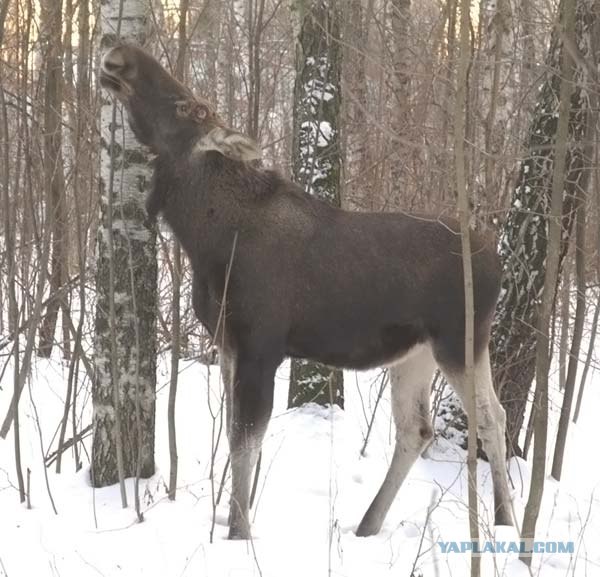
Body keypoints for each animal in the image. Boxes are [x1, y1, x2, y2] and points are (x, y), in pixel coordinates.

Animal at [101, 42, 512, 536]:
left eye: (191, 108)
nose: (122, 54)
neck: (205, 238)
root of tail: (497, 261)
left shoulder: (261, 346)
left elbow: (244, 442)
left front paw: (239, 533)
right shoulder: (228, 343)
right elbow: (238, 439)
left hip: (460, 340)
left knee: (490, 418)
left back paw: (507, 522)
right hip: (416, 352)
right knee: (418, 428)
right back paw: (368, 524)